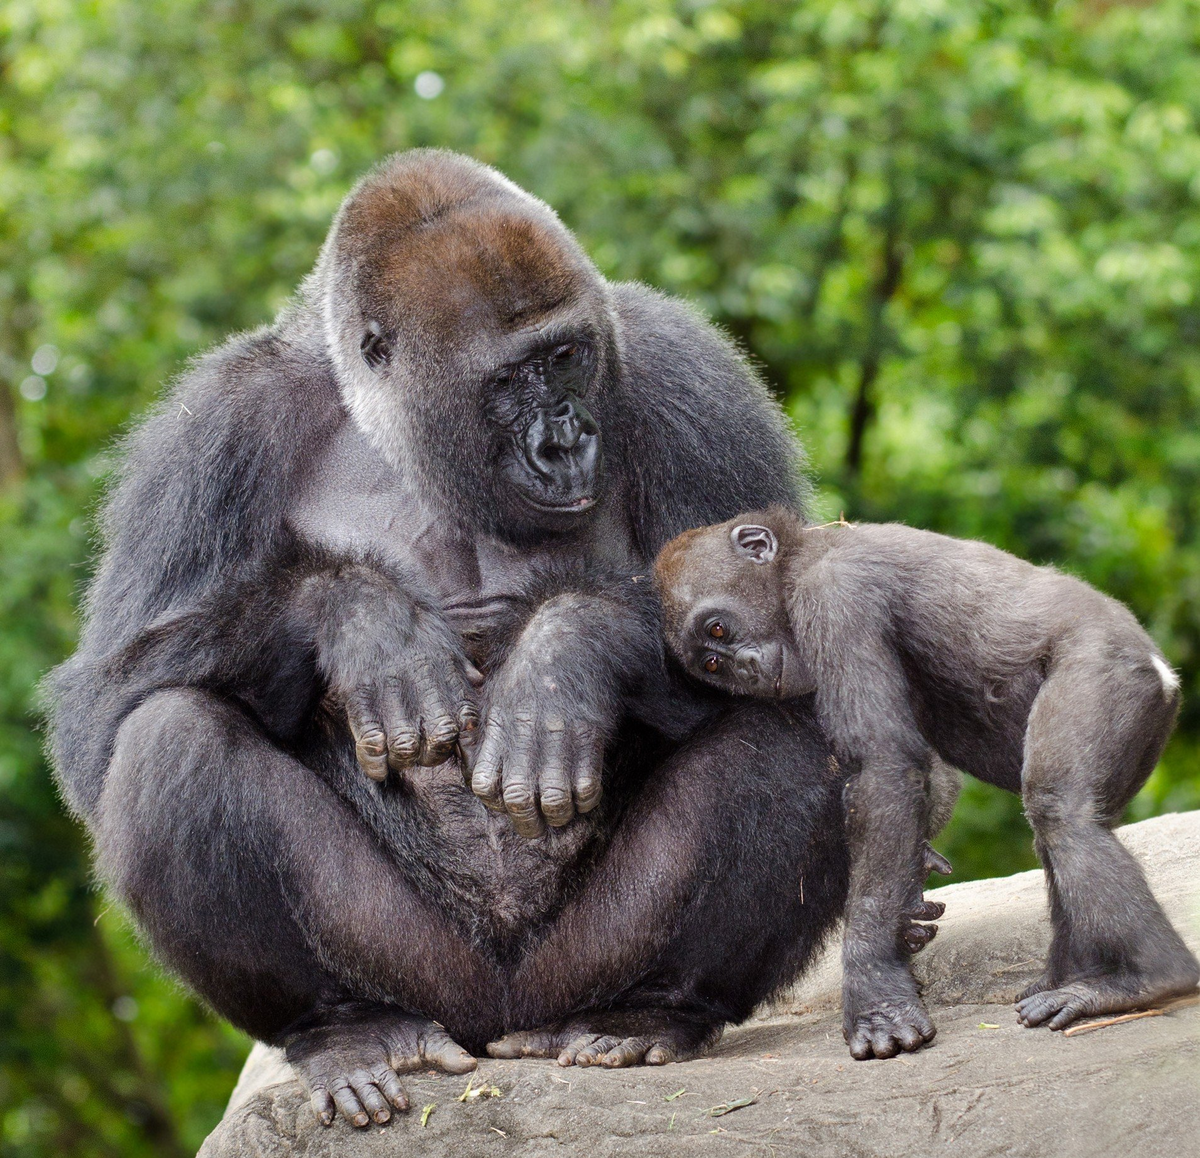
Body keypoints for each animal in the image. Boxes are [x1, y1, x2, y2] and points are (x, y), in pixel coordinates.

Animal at [51, 149, 849, 1123]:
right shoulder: (217, 427)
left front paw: (566, 655)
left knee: (790, 733)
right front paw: (358, 620)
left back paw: (653, 1011)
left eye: (567, 357)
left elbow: (790, 612)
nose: (566, 442)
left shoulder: (681, 368)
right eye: (509, 382)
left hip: (578, 966)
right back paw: (345, 1028)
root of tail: (497, 1021)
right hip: (419, 972)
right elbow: (98, 708)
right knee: (170, 738)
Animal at [657, 506, 1200, 1056]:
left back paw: (1146, 979)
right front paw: (908, 907)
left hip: (1111, 672)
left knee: (1061, 811)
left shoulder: (833, 596)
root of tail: (1165, 674)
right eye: (714, 665)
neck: (796, 560)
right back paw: (1080, 976)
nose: (744, 668)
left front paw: (876, 994)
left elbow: (886, 766)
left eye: (719, 629)